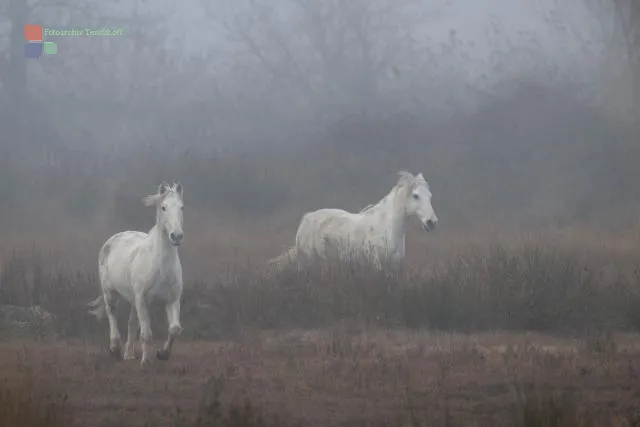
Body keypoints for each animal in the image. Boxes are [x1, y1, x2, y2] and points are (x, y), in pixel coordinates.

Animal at [86, 181, 185, 368]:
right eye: (163, 207)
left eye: (182, 207)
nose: (176, 236)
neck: (161, 268)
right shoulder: (142, 300)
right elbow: (146, 333)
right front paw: (146, 362)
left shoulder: (172, 300)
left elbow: (174, 329)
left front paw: (163, 354)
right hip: (111, 293)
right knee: (112, 315)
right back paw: (115, 349)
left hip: (133, 300)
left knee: (131, 324)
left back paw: (128, 355)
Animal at [268, 171, 438, 270]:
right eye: (415, 195)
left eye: (430, 196)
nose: (432, 222)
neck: (387, 228)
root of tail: (306, 219)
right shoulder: (376, 265)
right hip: (308, 264)